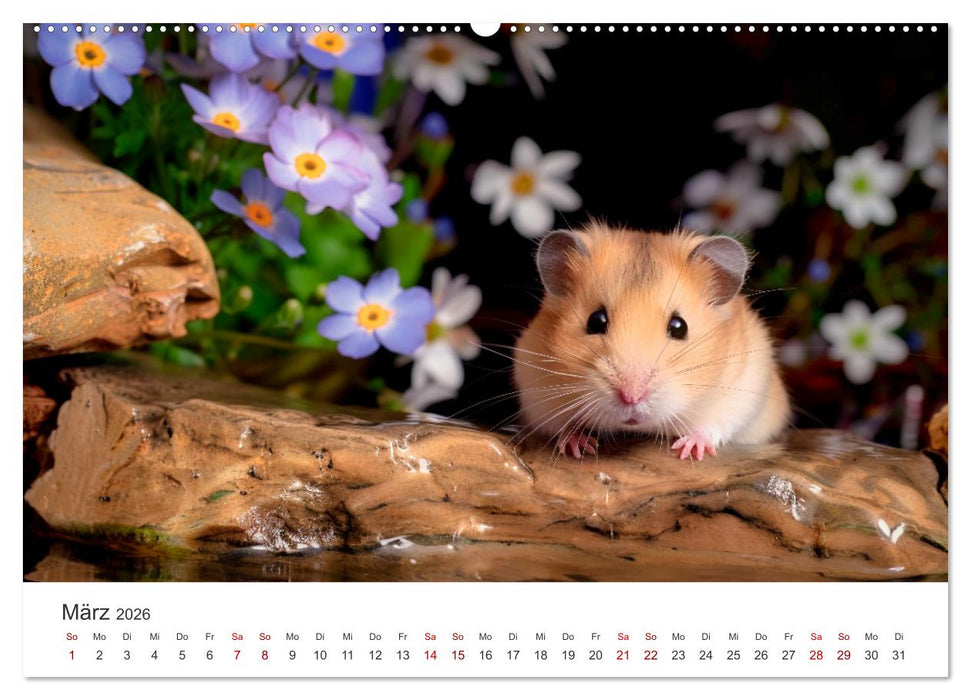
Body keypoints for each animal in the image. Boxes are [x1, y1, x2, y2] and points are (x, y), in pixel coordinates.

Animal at [513, 223, 790, 460]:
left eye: (679, 327)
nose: (631, 398)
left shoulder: (743, 389)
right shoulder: (534, 389)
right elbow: (560, 424)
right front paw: (577, 445)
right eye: (595, 321)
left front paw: (689, 449)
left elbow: (714, 424)